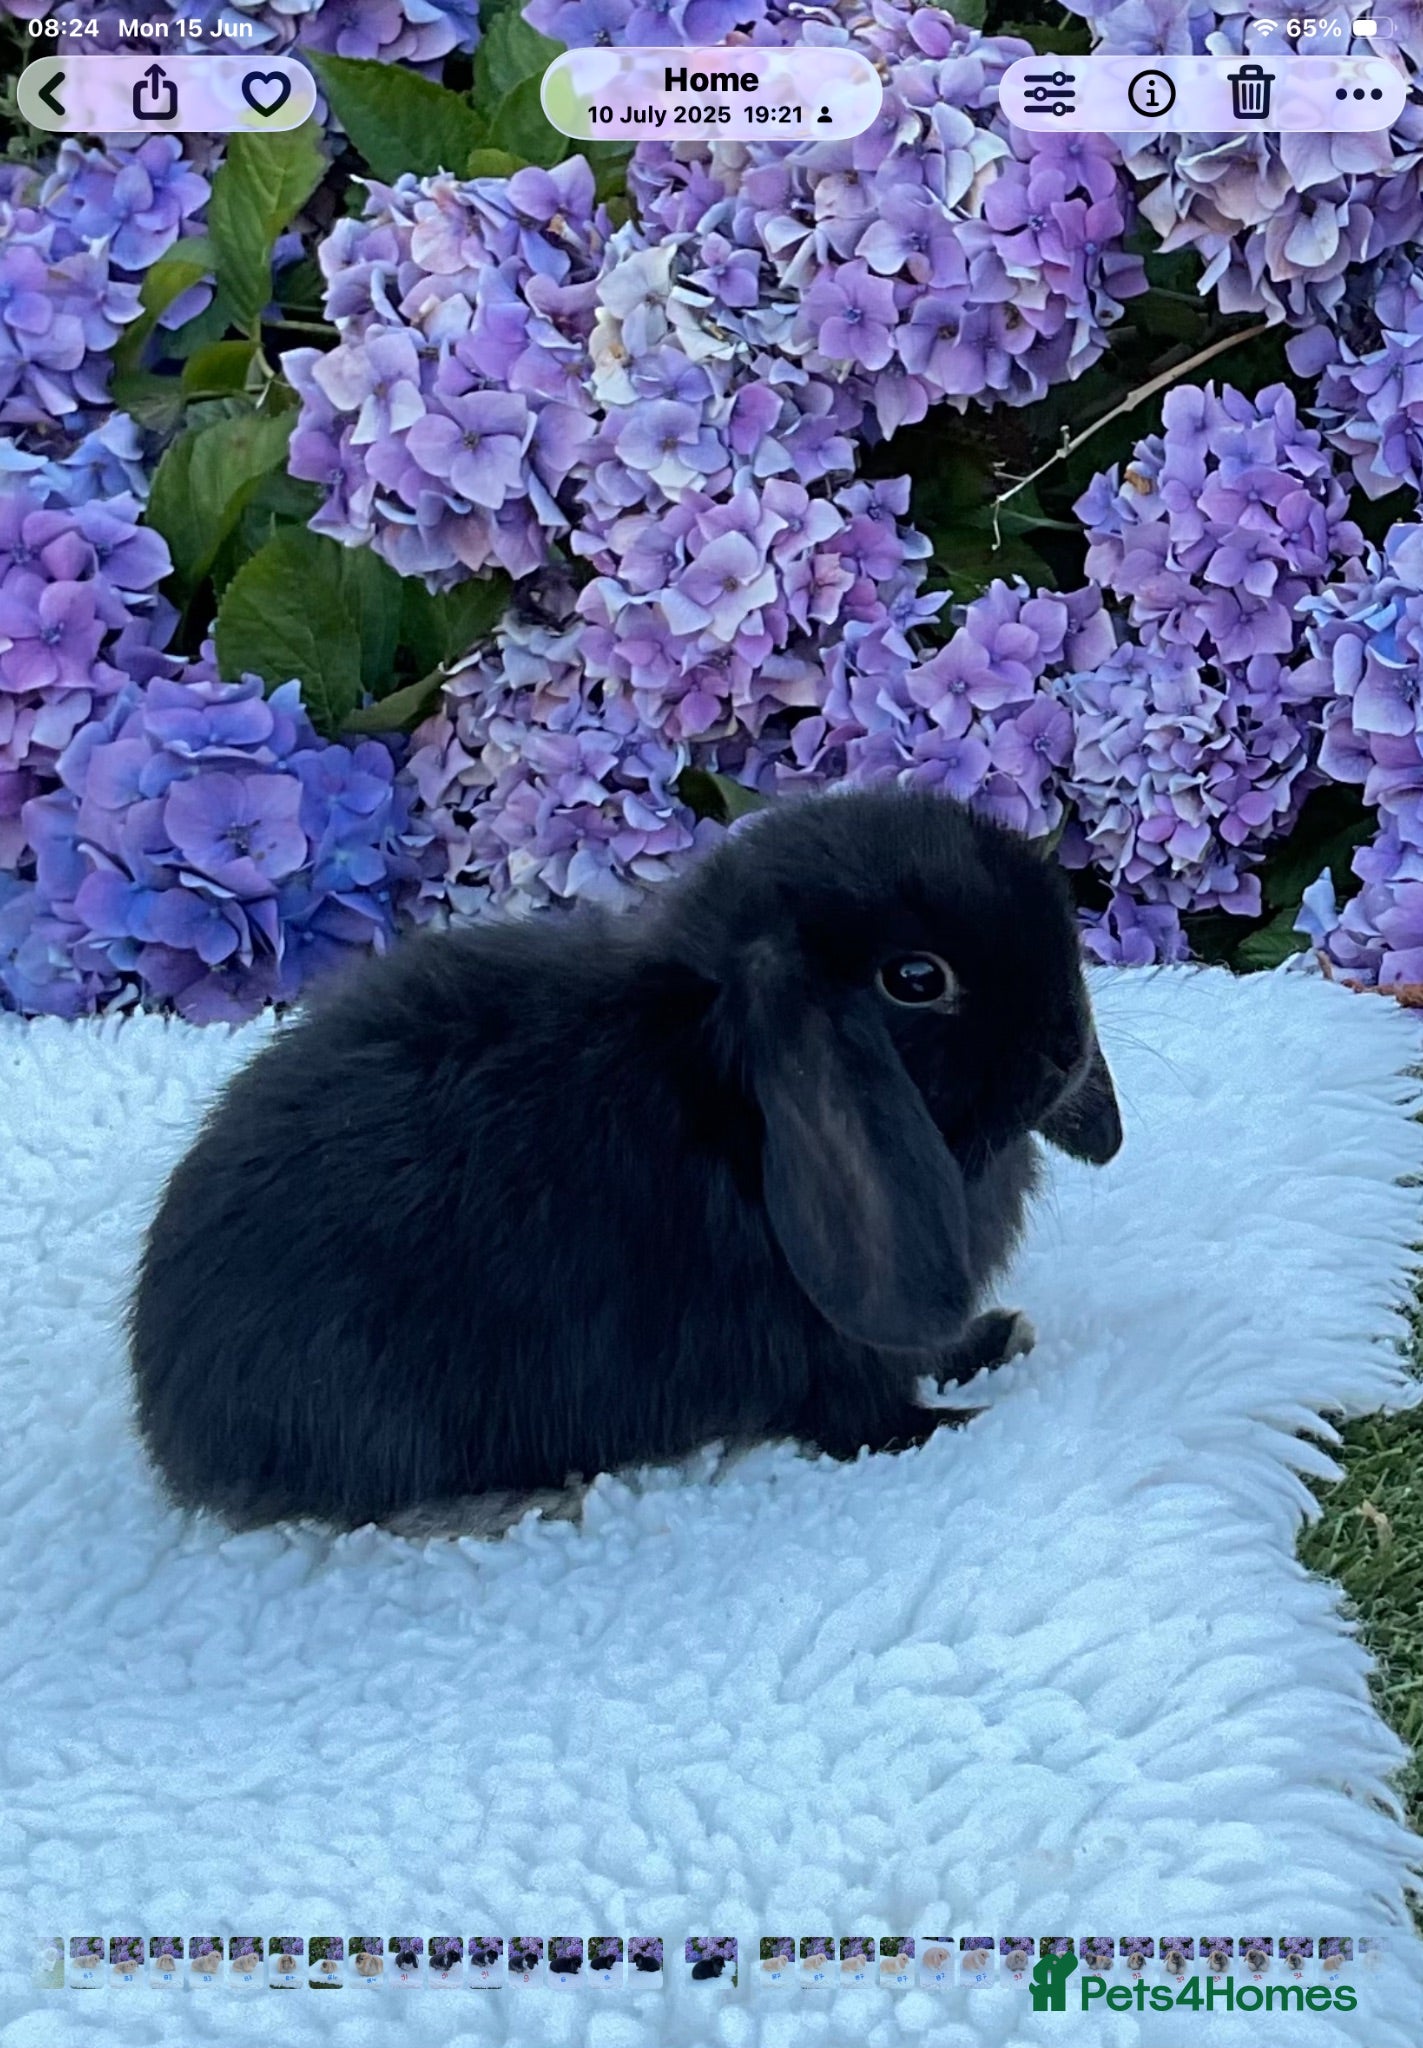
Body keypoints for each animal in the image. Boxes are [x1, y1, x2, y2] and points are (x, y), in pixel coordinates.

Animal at [128, 786, 1121, 1532]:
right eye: (916, 979)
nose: (1067, 1050)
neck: (722, 1080)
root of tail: (172, 1421)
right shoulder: (826, 1352)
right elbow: (864, 1421)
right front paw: (959, 1420)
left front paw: (992, 1339)